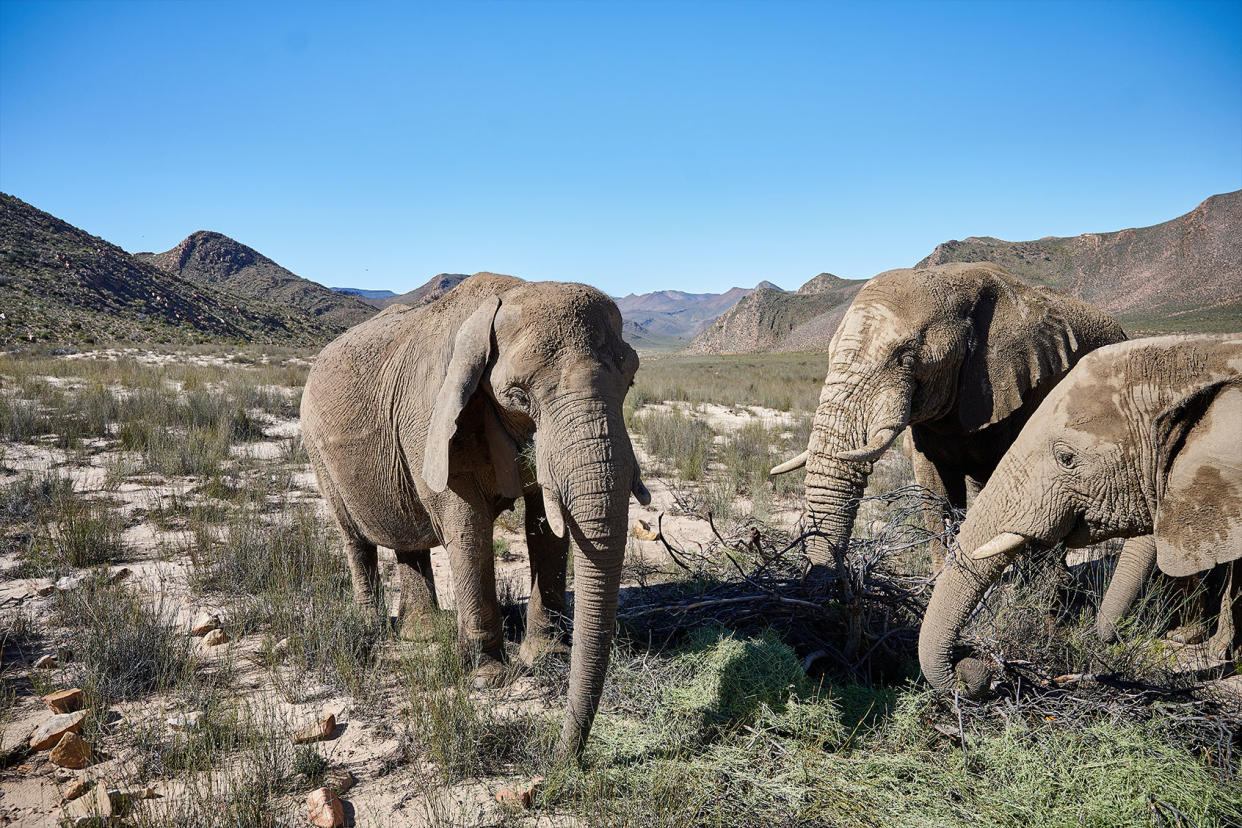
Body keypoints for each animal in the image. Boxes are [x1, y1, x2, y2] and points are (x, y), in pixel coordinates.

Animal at [300, 271, 650, 759]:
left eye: (631, 379)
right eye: (518, 394)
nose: (562, 756)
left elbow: (547, 528)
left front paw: (548, 658)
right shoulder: (431, 413)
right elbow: (467, 527)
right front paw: (490, 678)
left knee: (411, 544)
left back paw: (425, 635)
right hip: (318, 451)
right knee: (356, 539)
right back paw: (375, 629)